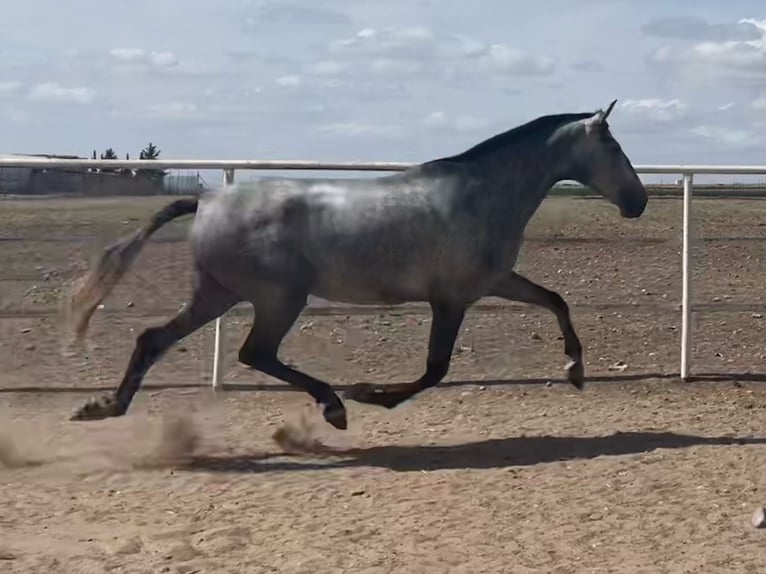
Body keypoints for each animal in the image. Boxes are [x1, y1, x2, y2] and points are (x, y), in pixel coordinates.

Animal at [70, 101, 648, 430]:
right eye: (614, 145)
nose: (638, 201)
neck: (480, 194)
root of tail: (207, 201)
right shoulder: (451, 298)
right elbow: (435, 369)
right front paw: (371, 395)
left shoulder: (491, 282)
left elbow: (555, 299)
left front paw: (575, 371)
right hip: (278, 299)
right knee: (254, 352)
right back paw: (335, 406)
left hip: (218, 293)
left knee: (154, 339)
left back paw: (103, 407)